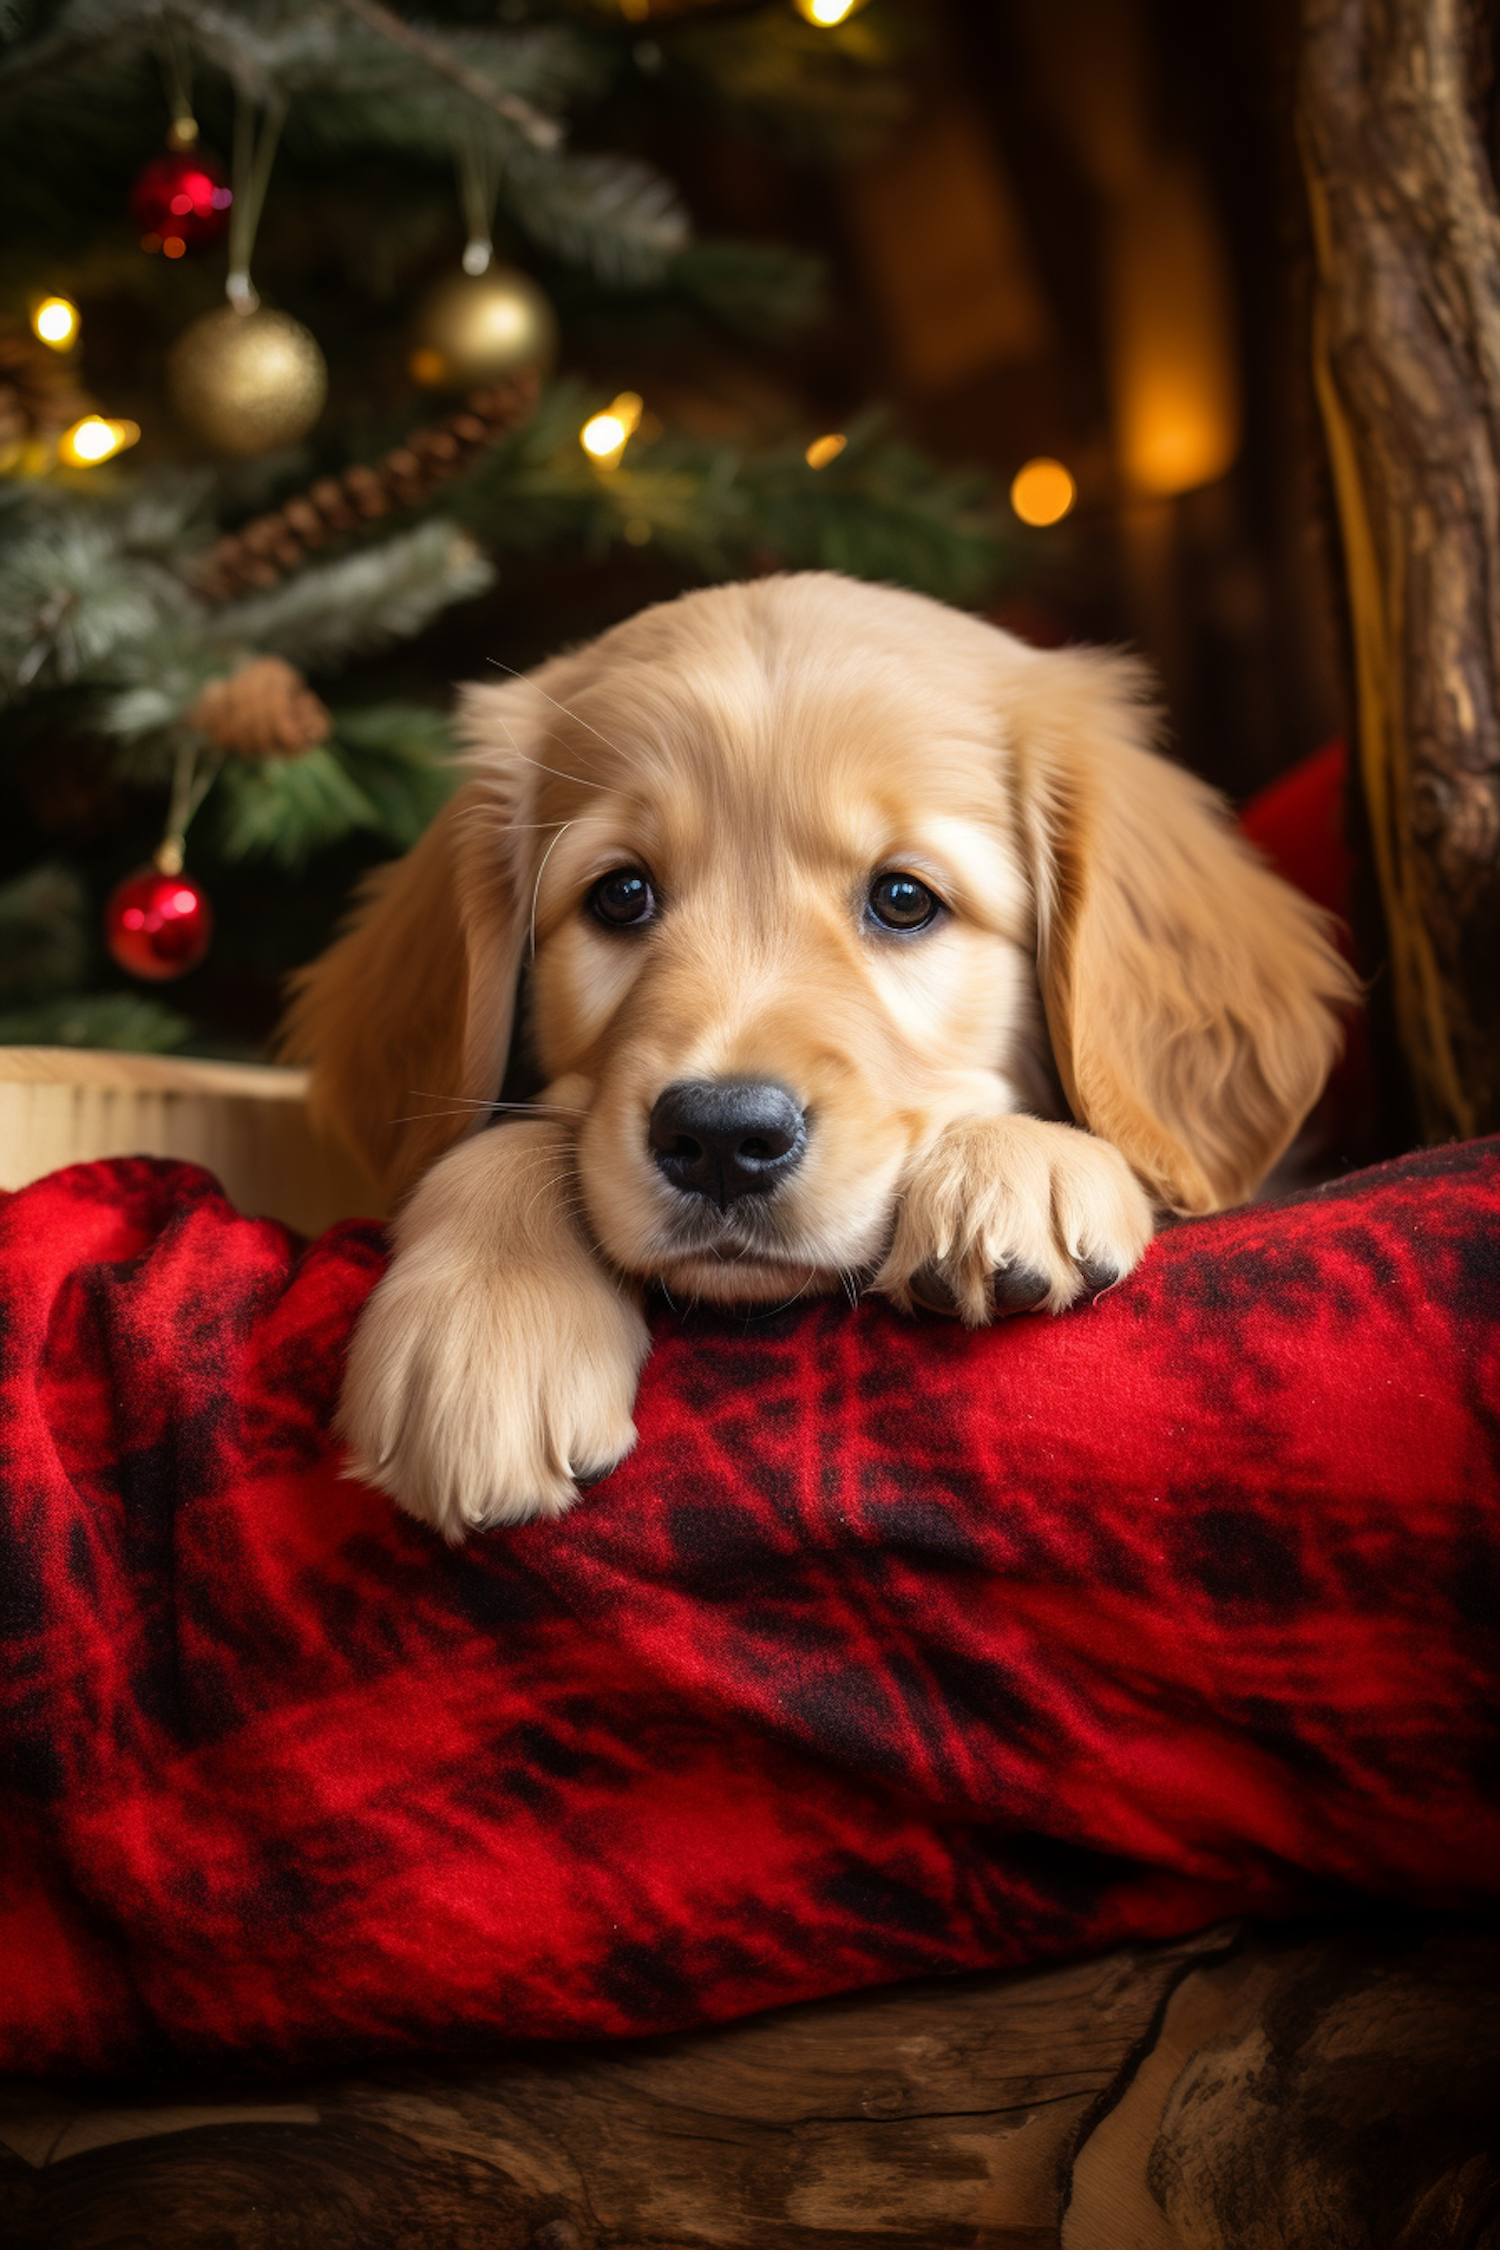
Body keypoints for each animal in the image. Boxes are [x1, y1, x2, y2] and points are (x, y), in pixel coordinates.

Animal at [278, 571, 1349, 1539]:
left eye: (905, 899)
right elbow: (507, 1141)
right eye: (620, 894)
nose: (720, 1138)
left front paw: (1021, 1160)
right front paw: (484, 1322)